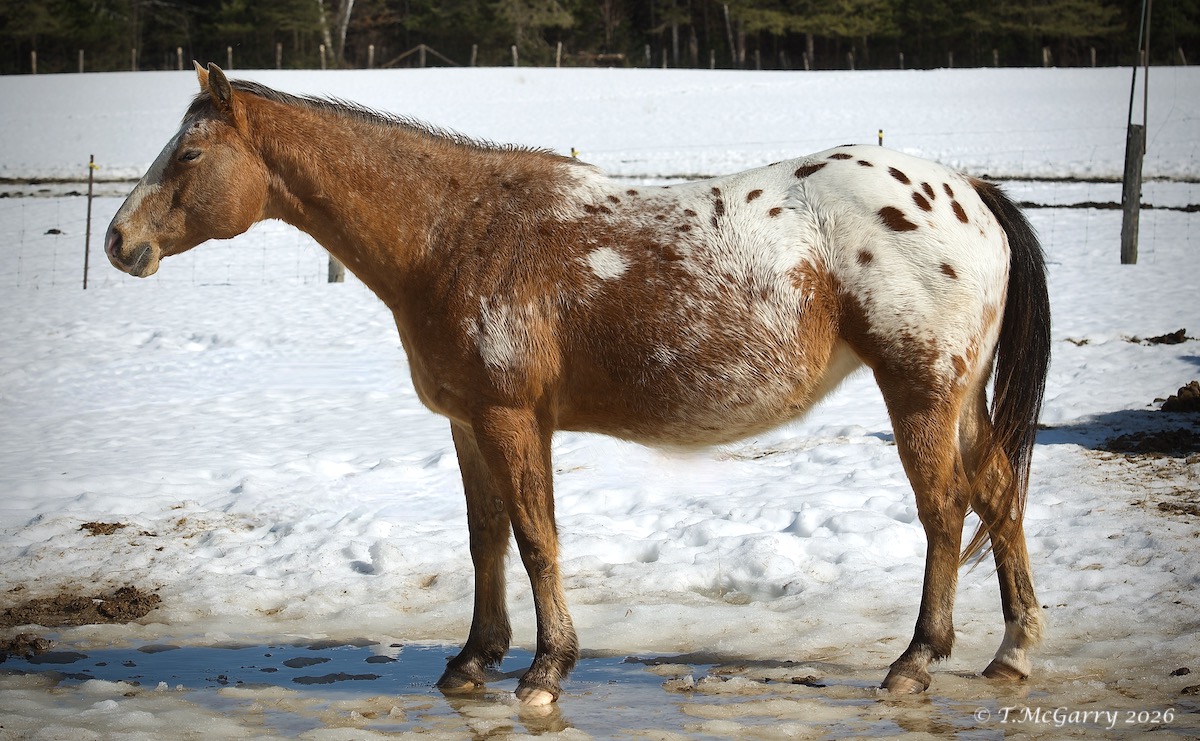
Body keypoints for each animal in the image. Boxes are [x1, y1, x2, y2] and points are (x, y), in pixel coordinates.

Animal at [106, 63, 1050, 706]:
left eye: (188, 153)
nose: (119, 241)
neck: (455, 232)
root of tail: (966, 189)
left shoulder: (511, 417)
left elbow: (535, 538)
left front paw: (545, 668)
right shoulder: (467, 422)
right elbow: (485, 538)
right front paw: (473, 659)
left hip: (919, 395)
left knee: (944, 510)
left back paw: (916, 660)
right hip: (960, 400)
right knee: (999, 490)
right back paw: (1012, 649)